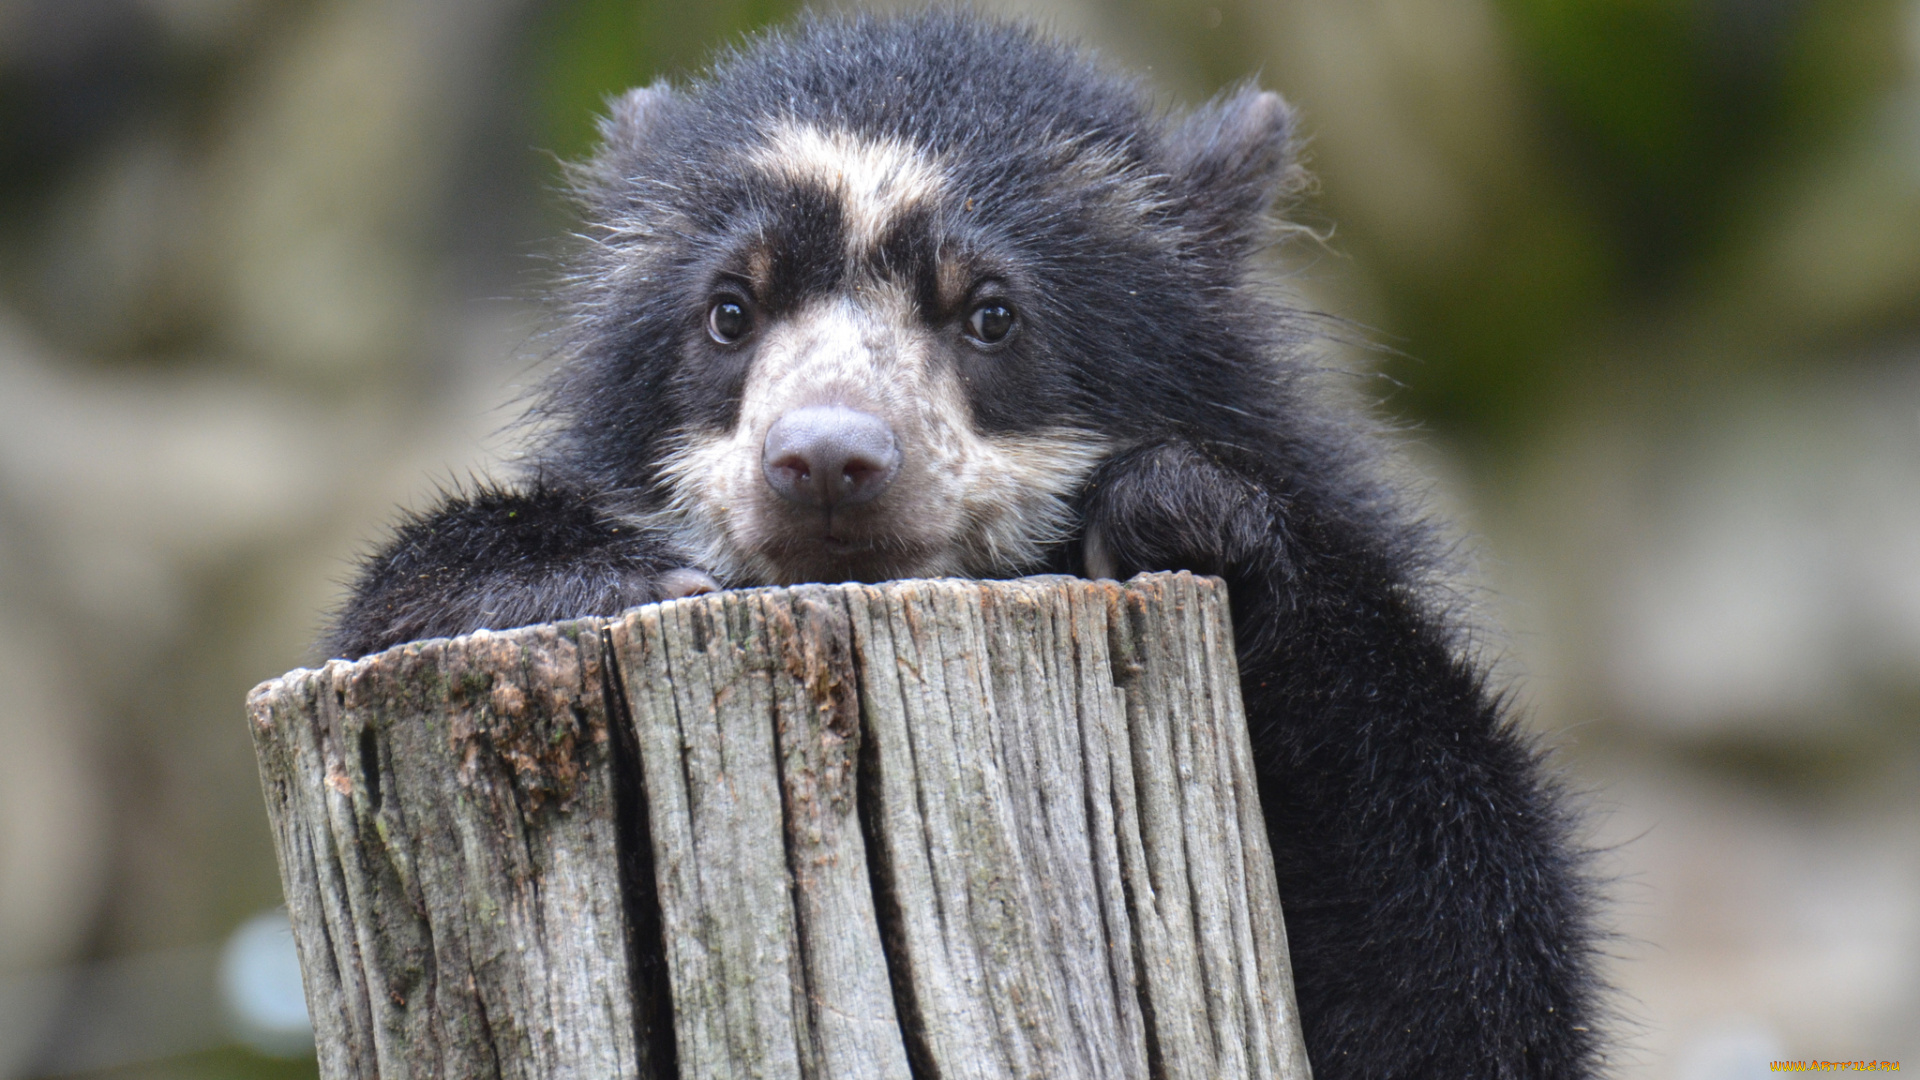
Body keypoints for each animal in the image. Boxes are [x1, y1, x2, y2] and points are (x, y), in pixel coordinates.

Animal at [326, 12, 1605, 1068]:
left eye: (991, 313)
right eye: (729, 311)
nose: (826, 461)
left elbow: (1465, 954)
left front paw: (1182, 511)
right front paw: (580, 572)